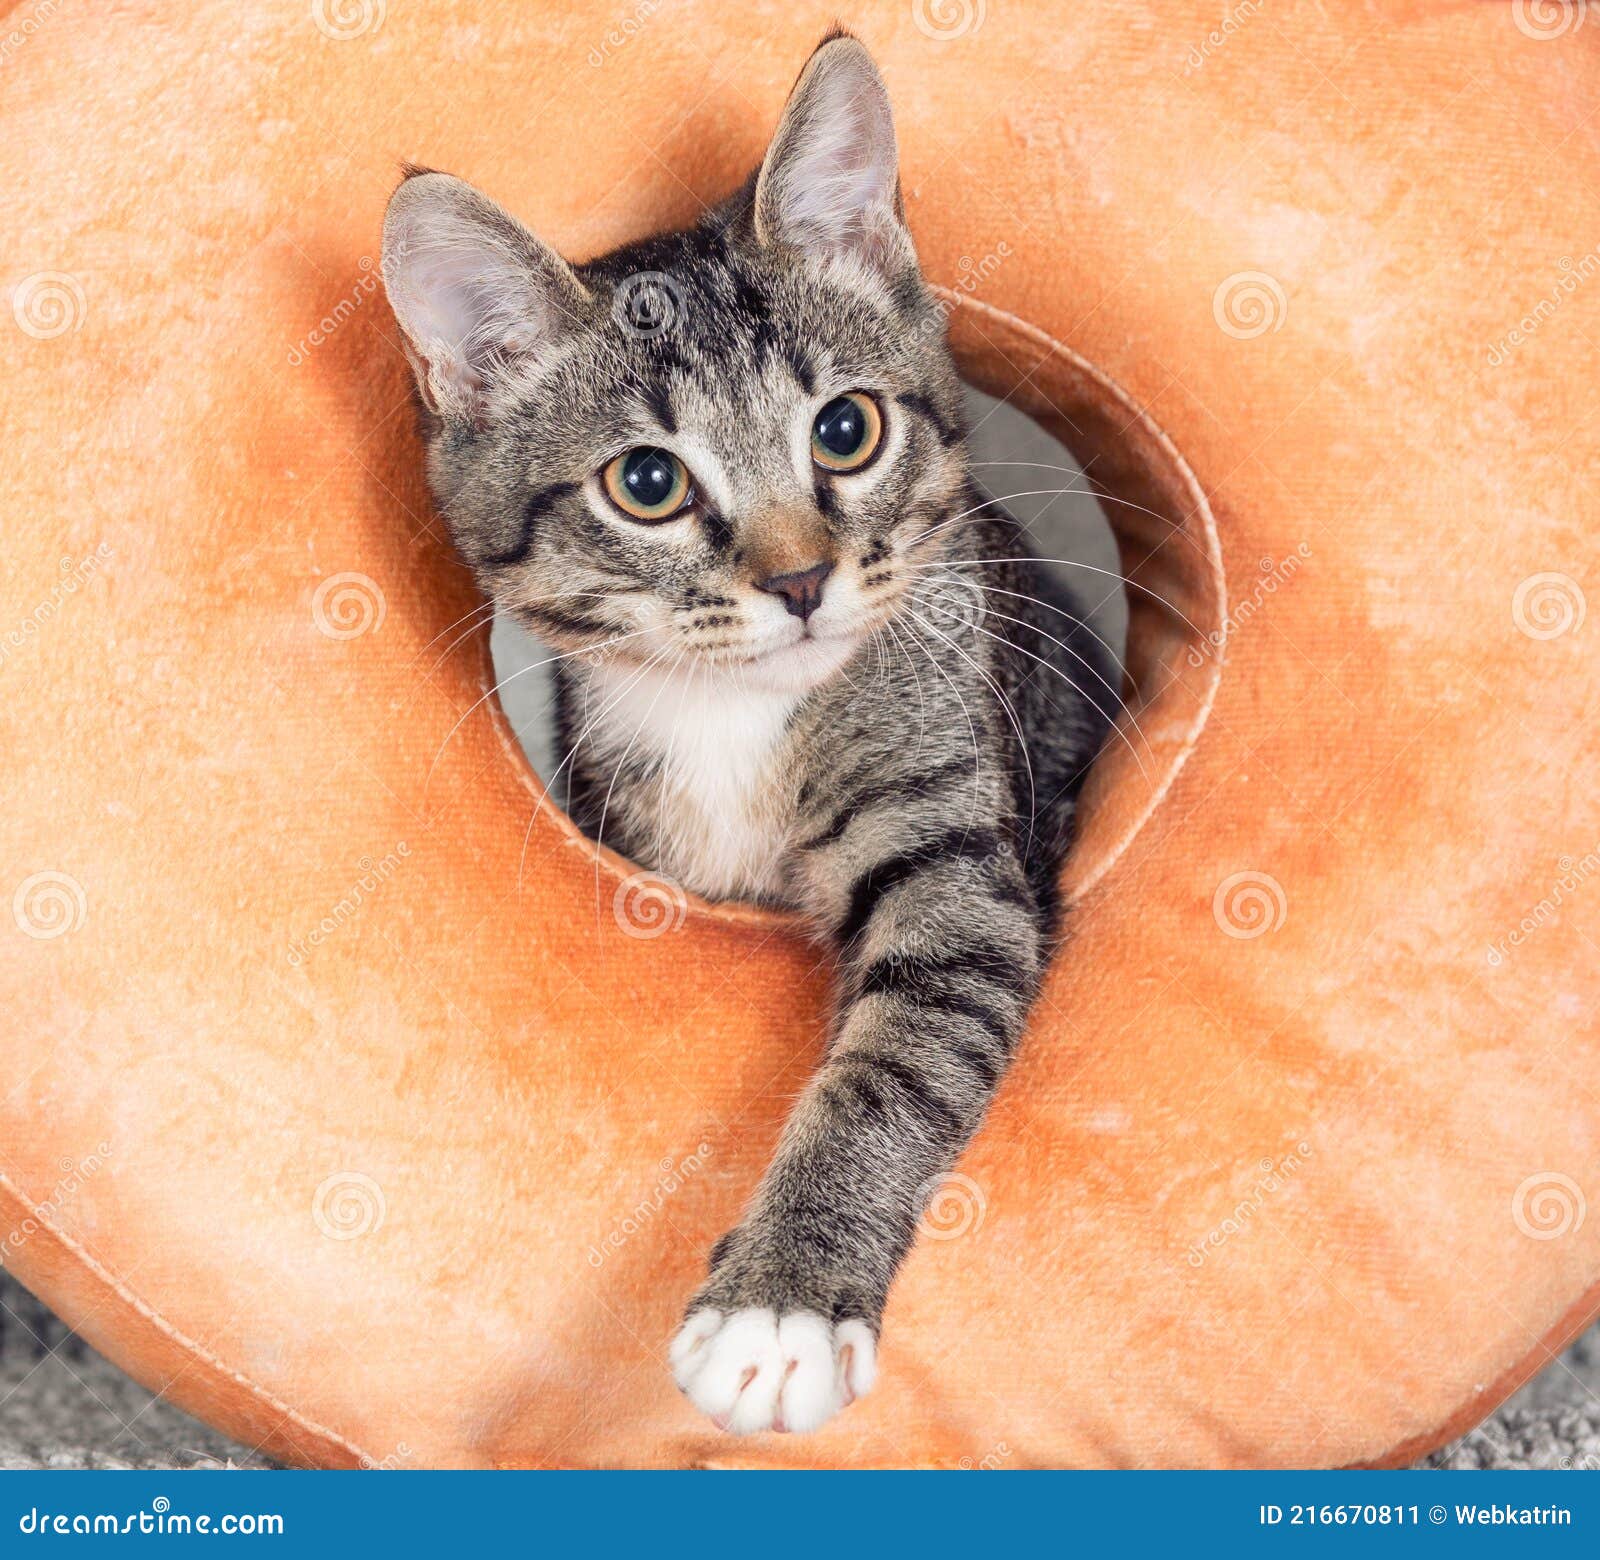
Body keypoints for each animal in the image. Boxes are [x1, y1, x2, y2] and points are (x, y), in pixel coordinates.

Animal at [380, 30, 1120, 1433]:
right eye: (647, 483)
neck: (730, 716)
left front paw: (781, 1306)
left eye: (845, 428)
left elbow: (902, 1052)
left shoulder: (953, 826)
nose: (800, 579)